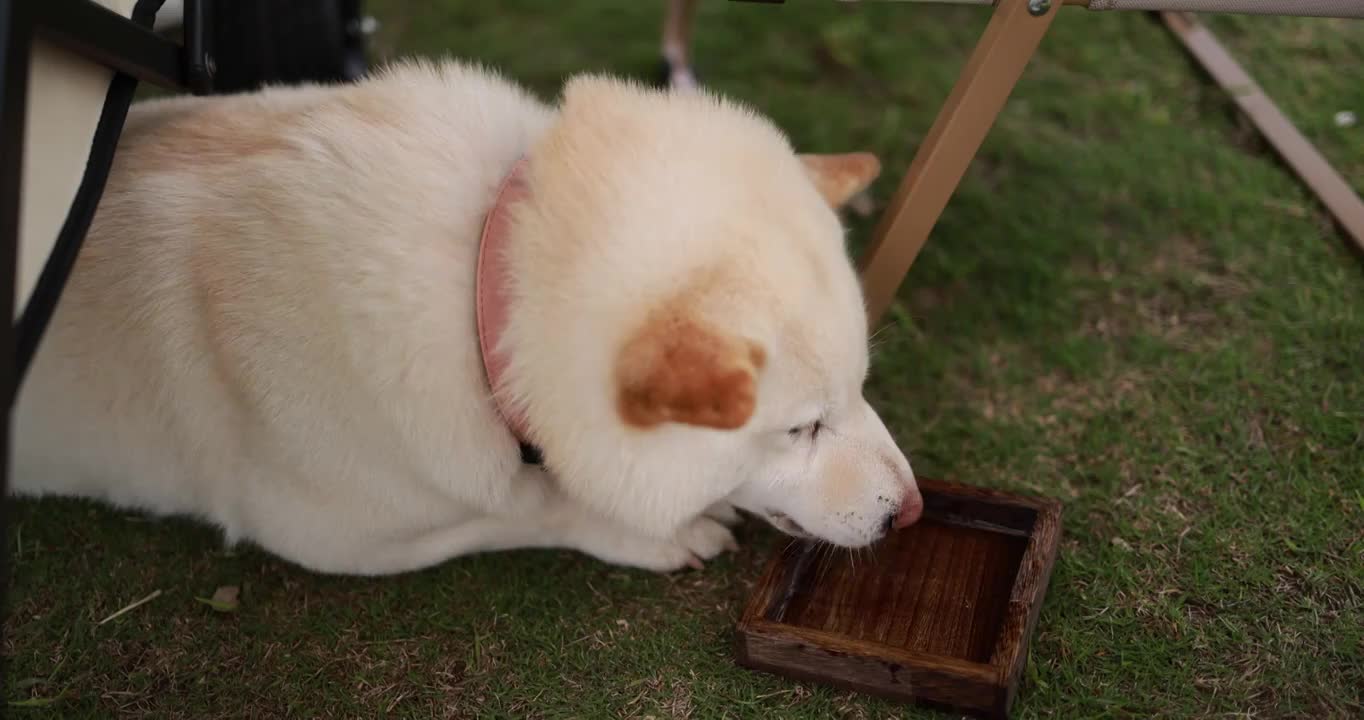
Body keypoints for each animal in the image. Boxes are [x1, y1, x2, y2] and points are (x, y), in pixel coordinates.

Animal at [10, 63, 922, 578]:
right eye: (801, 430)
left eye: (862, 390)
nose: (910, 513)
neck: (486, 271)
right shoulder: (339, 533)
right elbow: (524, 504)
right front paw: (662, 530)